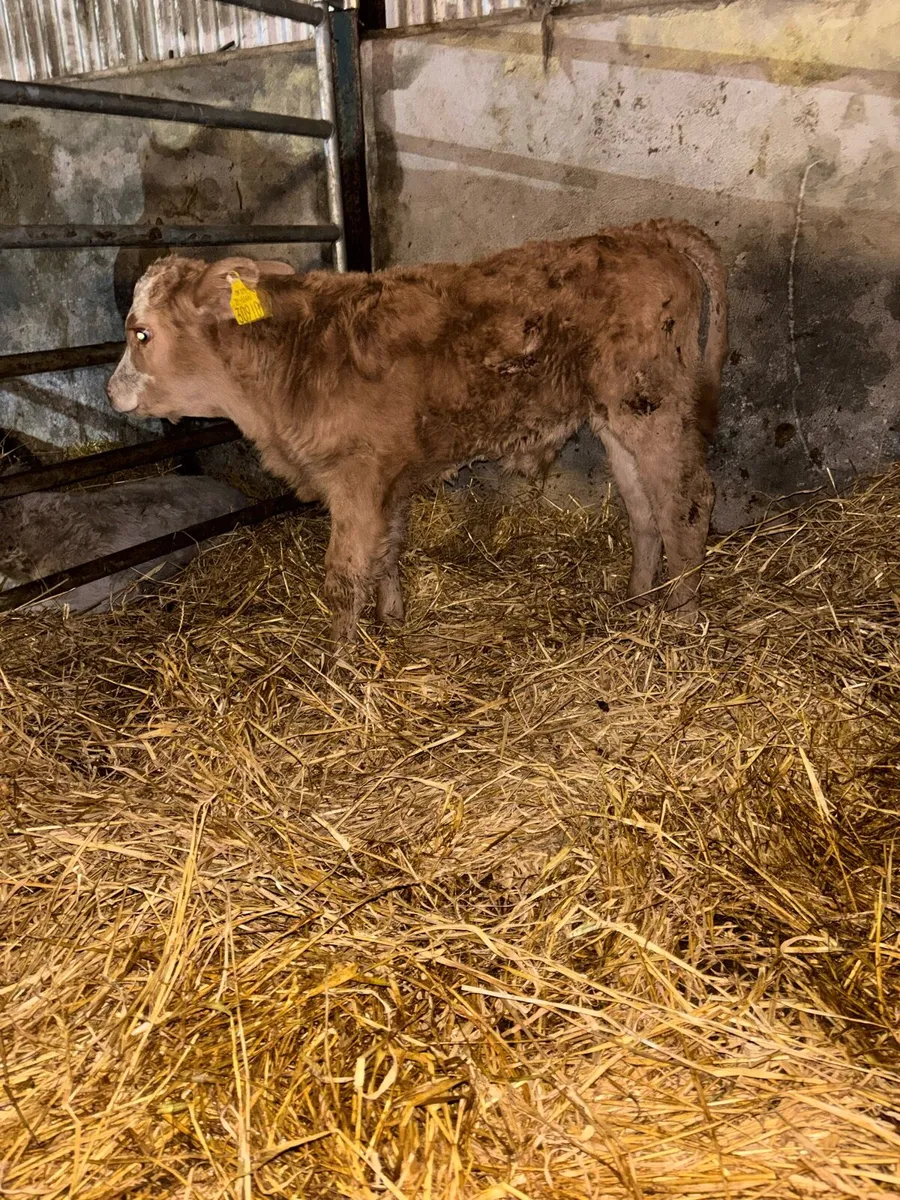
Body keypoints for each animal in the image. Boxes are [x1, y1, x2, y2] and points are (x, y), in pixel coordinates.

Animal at [106, 220, 727, 647]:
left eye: (141, 333)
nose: (111, 392)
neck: (291, 362)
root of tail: (644, 231)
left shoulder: (355, 480)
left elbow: (344, 575)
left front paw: (336, 664)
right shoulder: (388, 478)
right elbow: (386, 550)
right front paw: (391, 619)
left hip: (653, 406)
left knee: (687, 501)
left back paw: (682, 614)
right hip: (615, 417)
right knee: (645, 509)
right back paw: (638, 598)